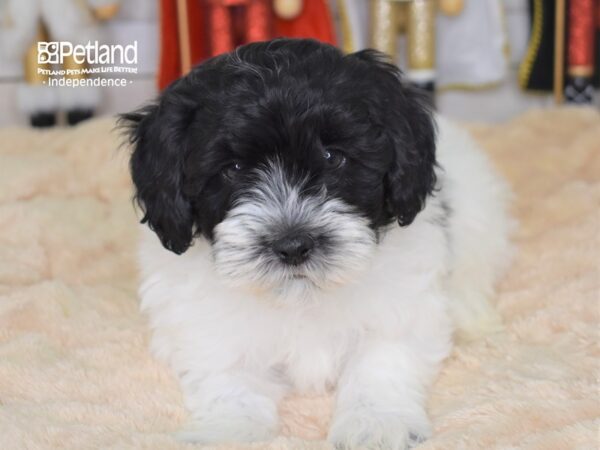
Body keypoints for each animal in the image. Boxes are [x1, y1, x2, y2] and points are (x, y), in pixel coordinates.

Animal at [120, 39, 510, 450]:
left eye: (333, 157)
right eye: (234, 169)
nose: (293, 245)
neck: (301, 297)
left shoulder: (401, 306)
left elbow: (382, 358)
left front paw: (376, 424)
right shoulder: (205, 328)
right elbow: (229, 378)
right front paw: (226, 430)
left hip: (479, 210)